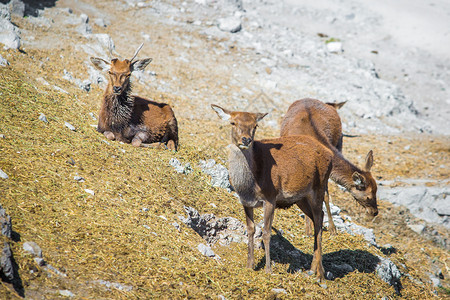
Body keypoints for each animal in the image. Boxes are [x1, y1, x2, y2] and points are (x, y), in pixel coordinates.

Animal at [212, 104, 334, 280]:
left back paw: (320, 273)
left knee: (318, 219)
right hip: (301, 198)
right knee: (317, 217)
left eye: (255, 125)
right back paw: (312, 268)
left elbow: (266, 232)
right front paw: (250, 265)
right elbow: (250, 229)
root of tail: (330, 155)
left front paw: (268, 269)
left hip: (319, 186)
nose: (246, 140)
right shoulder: (245, 201)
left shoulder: (270, 197)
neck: (250, 185)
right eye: (233, 123)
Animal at [280, 97, 378, 236]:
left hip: (339, 142)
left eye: (377, 191)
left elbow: (325, 196)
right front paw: (308, 229)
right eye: (368, 196)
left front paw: (332, 228)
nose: (375, 212)